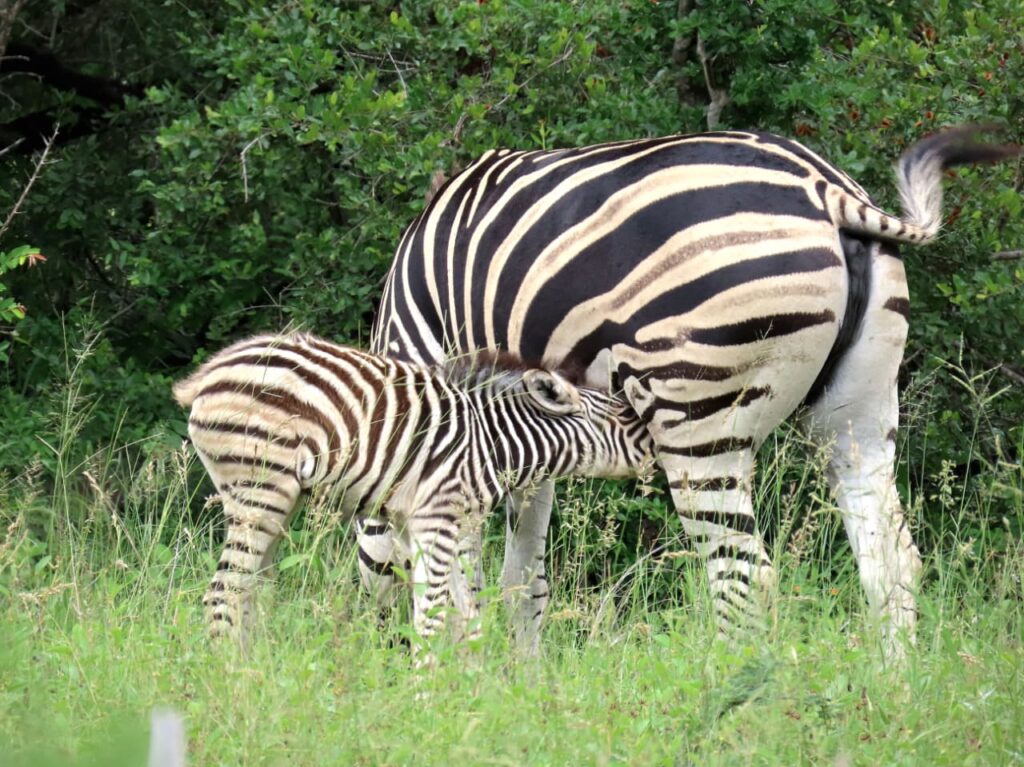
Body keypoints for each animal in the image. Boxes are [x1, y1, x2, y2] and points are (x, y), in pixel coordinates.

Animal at [172, 332, 653, 650]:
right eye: (622, 416)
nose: (656, 454)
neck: (491, 441)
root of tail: (211, 372)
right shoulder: (434, 519)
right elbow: (433, 616)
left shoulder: (437, 524)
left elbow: (464, 613)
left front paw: (468, 696)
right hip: (260, 489)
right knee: (224, 591)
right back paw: (233, 683)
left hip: (275, 502)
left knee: (247, 591)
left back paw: (256, 671)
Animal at [363, 126, 1020, 656]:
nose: (377, 652)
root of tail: (824, 188)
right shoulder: (531, 433)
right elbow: (523, 577)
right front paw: (520, 676)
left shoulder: (465, 429)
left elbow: (460, 576)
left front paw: (470, 672)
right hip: (860, 410)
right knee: (891, 563)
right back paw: (891, 695)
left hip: (696, 415)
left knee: (743, 579)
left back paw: (733, 709)